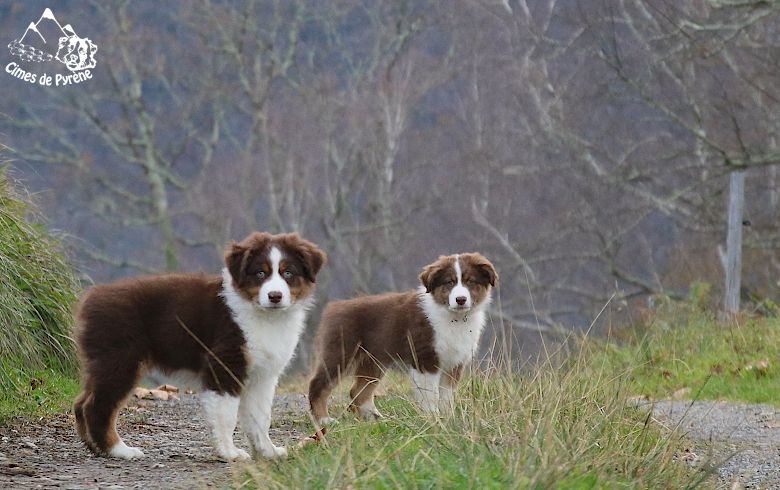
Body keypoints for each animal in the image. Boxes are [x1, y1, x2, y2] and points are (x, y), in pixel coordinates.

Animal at [73, 232, 326, 462]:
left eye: (288, 273)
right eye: (260, 273)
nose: (275, 296)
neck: (265, 316)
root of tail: (90, 298)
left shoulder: (262, 376)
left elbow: (260, 417)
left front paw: (267, 451)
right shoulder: (224, 364)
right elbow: (227, 415)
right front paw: (230, 453)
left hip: (103, 363)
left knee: (81, 403)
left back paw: (94, 447)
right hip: (120, 361)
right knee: (97, 407)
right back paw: (118, 450)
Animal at [308, 253, 496, 424]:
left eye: (470, 282)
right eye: (449, 282)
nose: (461, 299)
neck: (454, 317)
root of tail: (333, 307)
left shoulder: (455, 363)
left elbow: (447, 395)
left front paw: (448, 418)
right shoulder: (425, 359)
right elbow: (430, 394)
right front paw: (434, 419)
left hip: (374, 361)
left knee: (358, 391)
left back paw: (374, 417)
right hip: (341, 352)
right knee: (318, 384)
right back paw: (324, 420)